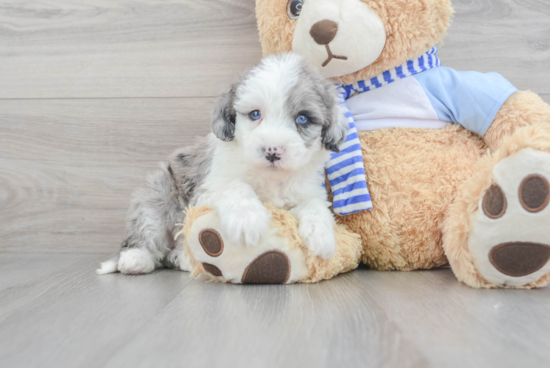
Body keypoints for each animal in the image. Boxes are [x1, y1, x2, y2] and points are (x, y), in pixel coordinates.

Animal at [98, 53, 350, 274]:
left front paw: (321, 235)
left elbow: (315, 204)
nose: (272, 151)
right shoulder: (208, 188)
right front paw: (247, 220)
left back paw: (183, 259)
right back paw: (135, 259)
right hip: (157, 196)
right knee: (146, 231)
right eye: (255, 114)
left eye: (303, 118)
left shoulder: (306, 191)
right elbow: (236, 185)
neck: (270, 177)